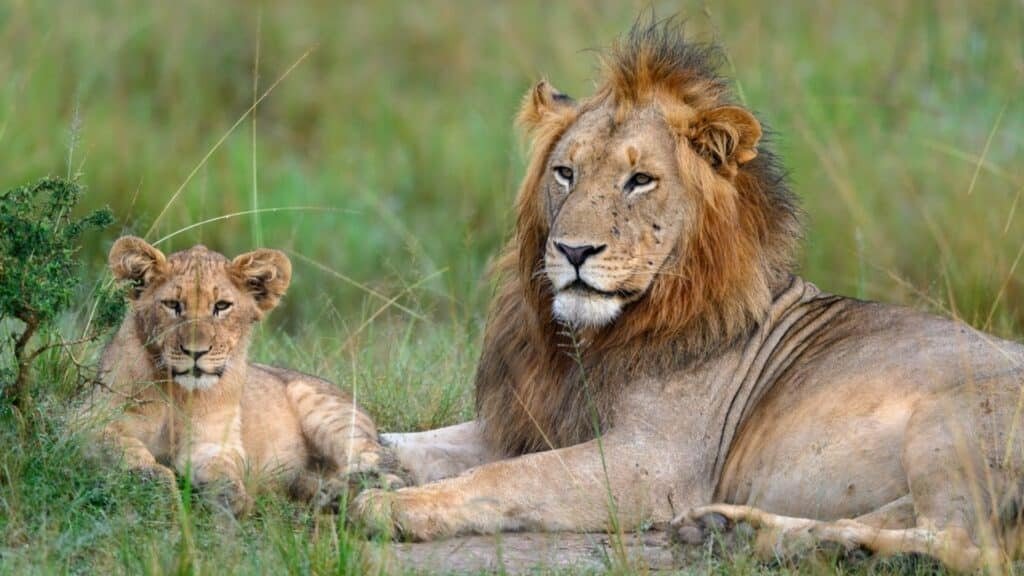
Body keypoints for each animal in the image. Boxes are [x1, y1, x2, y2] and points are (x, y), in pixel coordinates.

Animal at [87, 236, 402, 515]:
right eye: (173, 305)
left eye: (221, 306)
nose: (195, 352)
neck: (177, 390)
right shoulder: (90, 421)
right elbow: (123, 449)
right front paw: (157, 484)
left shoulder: (214, 440)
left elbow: (222, 467)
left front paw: (230, 497)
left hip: (328, 412)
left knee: (386, 463)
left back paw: (341, 489)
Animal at [351, 20, 1024, 570]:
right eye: (566, 172)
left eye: (640, 180)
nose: (572, 251)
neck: (591, 340)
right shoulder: (524, 422)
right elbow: (405, 439)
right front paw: (351, 461)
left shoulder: (653, 463)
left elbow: (508, 478)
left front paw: (391, 507)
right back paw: (738, 533)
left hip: (956, 420)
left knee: (965, 543)